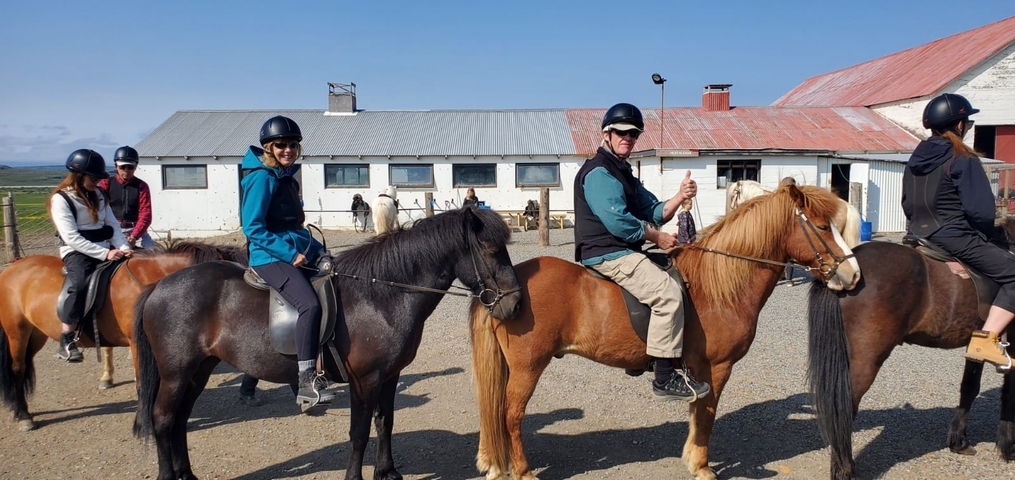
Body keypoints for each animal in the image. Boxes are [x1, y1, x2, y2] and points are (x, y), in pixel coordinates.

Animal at [0, 241, 246, 432]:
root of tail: (13, 266)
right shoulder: (138, 344)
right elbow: (143, 383)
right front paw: (144, 424)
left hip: (36, 334)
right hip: (17, 331)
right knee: (17, 368)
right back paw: (23, 416)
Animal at [132, 207, 523, 480]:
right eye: (491, 251)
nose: (515, 303)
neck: (381, 295)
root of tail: (159, 286)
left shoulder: (389, 376)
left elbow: (385, 422)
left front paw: (387, 471)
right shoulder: (364, 380)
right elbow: (359, 432)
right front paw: (356, 476)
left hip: (198, 370)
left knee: (179, 420)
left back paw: (187, 474)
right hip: (176, 373)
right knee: (163, 419)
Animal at [807, 240, 1015, 479]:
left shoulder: (976, 346)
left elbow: (969, 387)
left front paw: (959, 441)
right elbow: (1009, 393)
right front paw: (1007, 447)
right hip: (866, 362)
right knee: (844, 409)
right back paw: (845, 471)